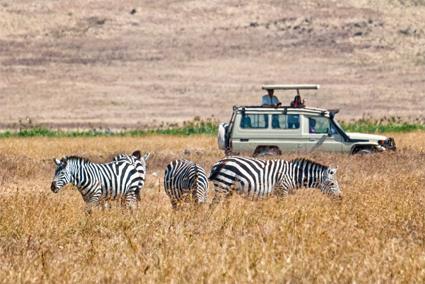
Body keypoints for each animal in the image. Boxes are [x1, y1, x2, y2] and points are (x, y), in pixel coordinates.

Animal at [207, 156, 340, 201]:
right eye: (332, 184)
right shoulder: (283, 189)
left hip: (228, 189)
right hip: (223, 185)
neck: (294, 175)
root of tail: (219, 162)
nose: (341, 198)